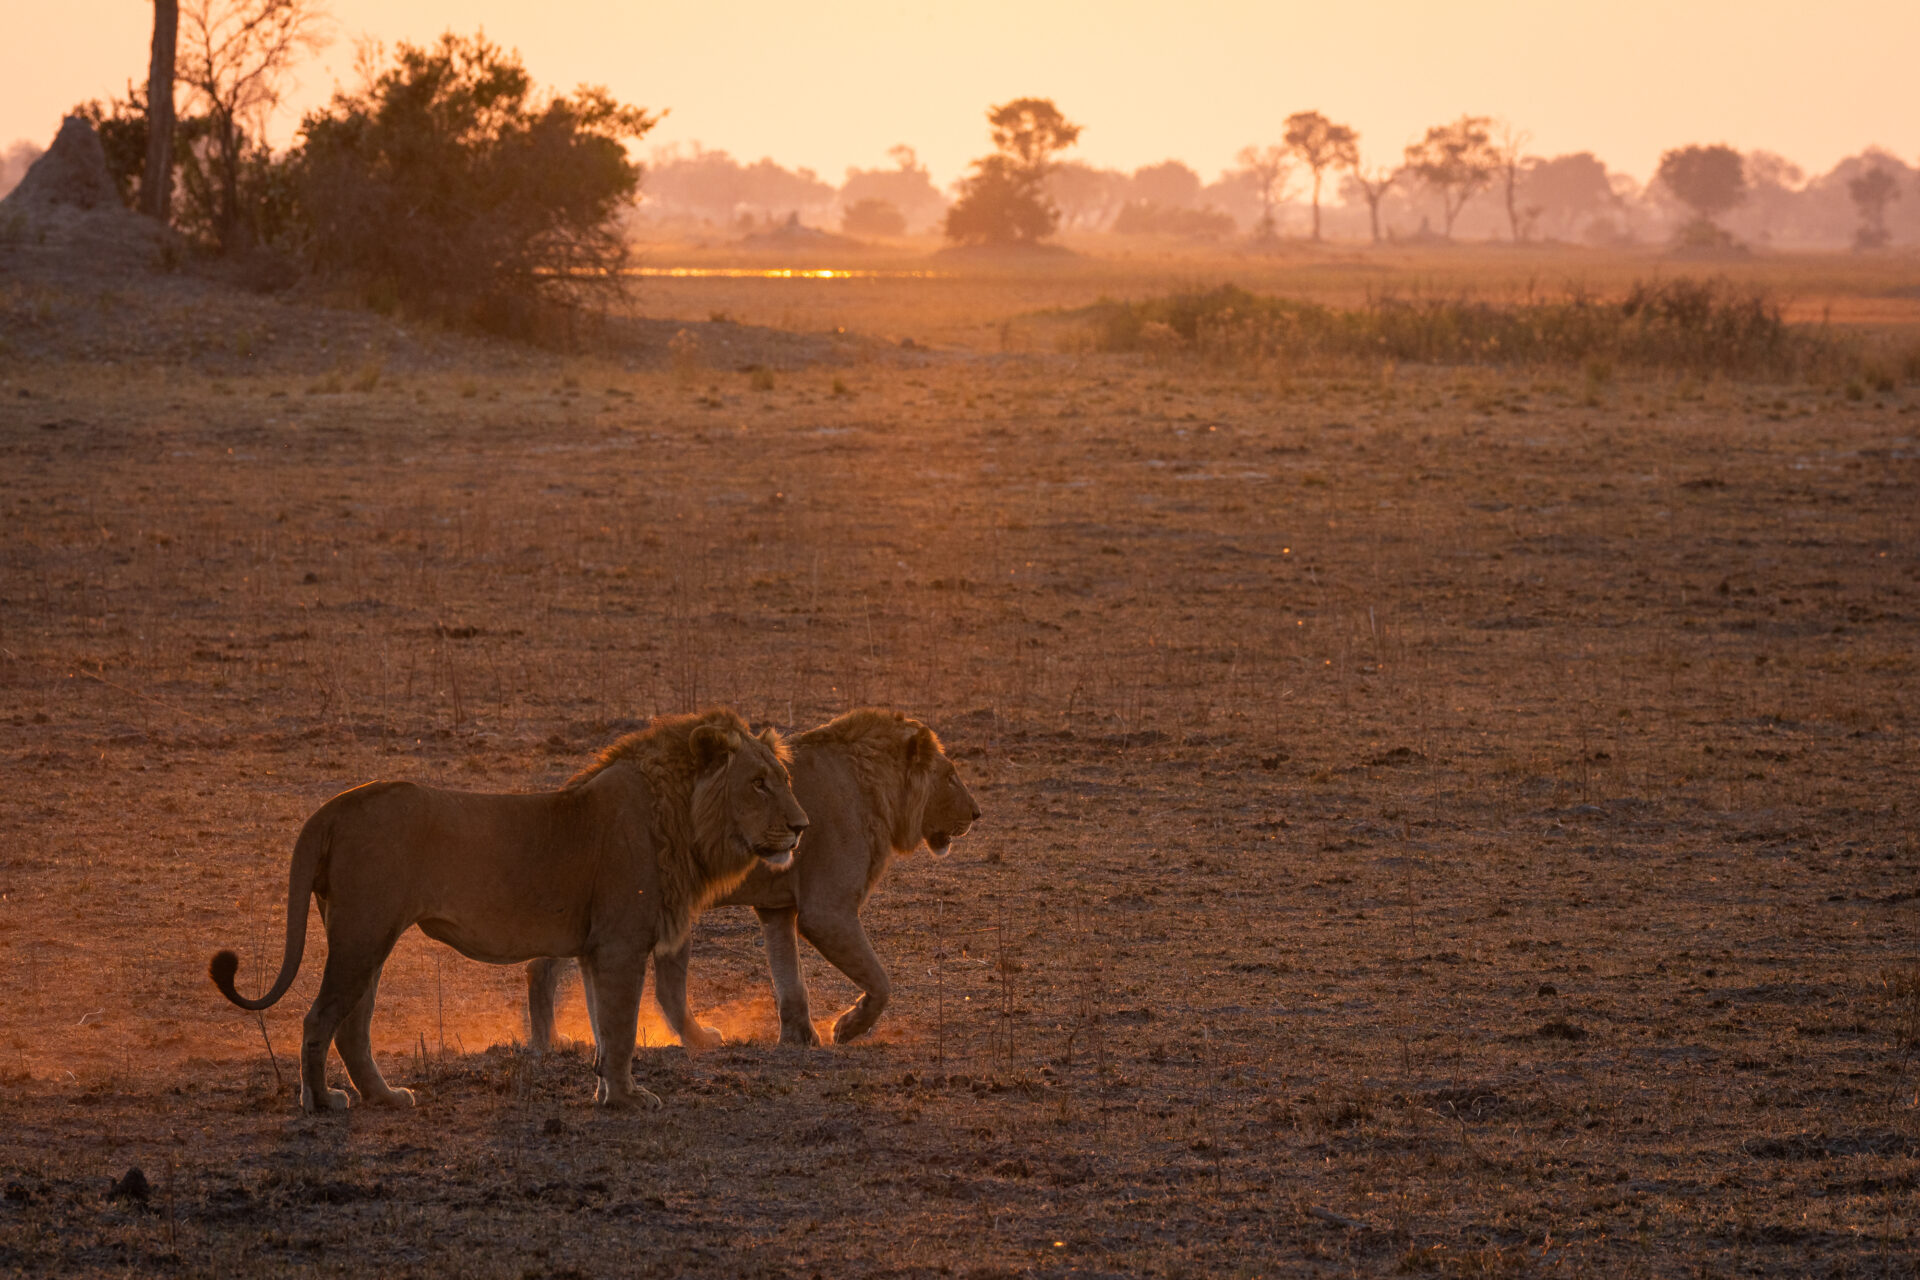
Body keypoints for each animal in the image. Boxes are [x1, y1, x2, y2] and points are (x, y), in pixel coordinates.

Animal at [209, 709, 808, 1113]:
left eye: (784, 780)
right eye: (758, 783)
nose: (801, 827)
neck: (683, 818)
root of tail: (334, 806)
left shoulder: (595, 949)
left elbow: (604, 1025)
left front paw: (609, 1094)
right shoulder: (620, 943)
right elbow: (619, 1025)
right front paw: (630, 1099)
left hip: (368, 938)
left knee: (353, 1025)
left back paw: (387, 1097)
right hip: (362, 934)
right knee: (319, 1018)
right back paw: (321, 1102)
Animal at [527, 708, 980, 1050]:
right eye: (950, 775)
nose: (977, 814)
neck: (877, 789)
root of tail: (577, 787)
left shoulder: (777, 909)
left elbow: (789, 977)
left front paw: (800, 1037)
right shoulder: (827, 910)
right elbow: (880, 980)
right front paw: (847, 1028)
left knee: (542, 966)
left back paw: (549, 1040)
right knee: (667, 989)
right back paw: (700, 1040)